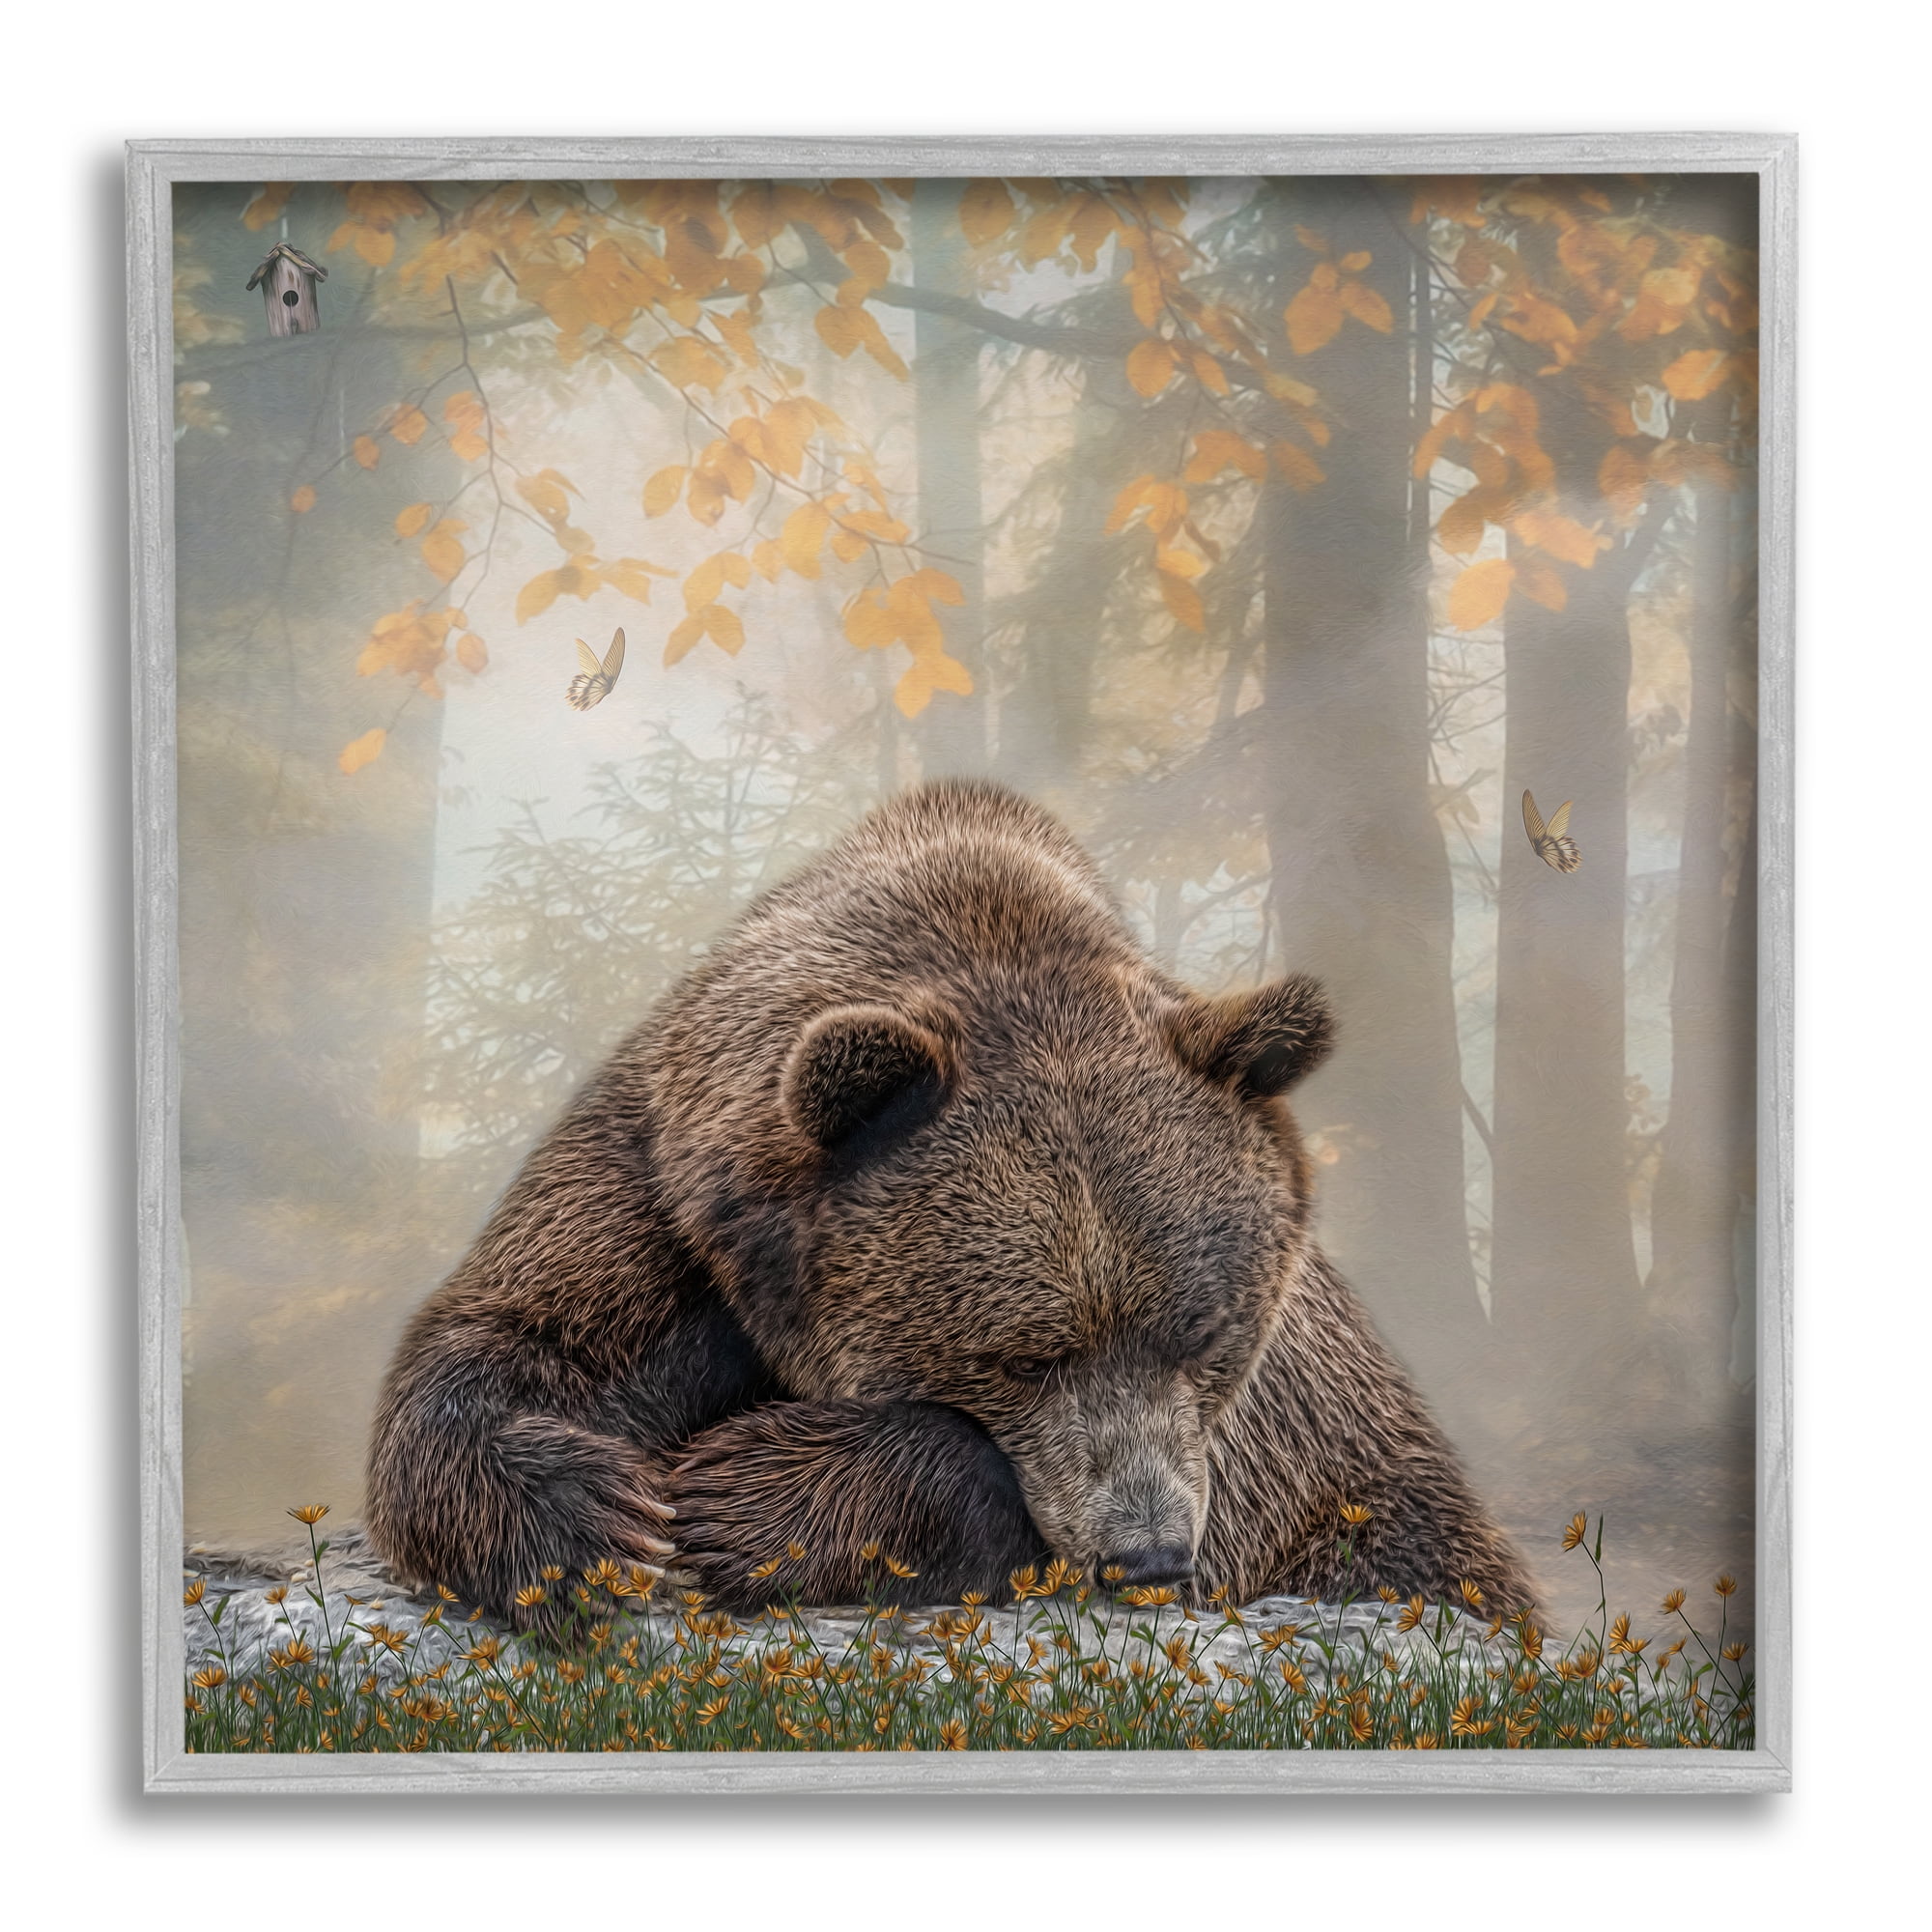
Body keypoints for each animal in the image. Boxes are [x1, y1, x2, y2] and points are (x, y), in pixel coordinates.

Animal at [366, 779, 1534, 1622]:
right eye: (1019, 1354)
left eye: (1205, 1332)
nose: (1147, 1552)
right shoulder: (670, 1189)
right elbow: (514, 1339)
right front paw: (592, 1520)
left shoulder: (1262, 1441)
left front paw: (730, 1501)